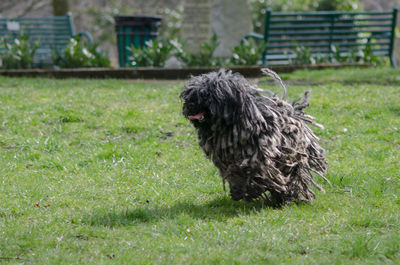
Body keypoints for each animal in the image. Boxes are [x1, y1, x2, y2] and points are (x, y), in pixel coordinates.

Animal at [181, 68, 328, 204]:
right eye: (191, 94)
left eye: (206, 95)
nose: (190, 103)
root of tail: (291, 109)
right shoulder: (225, 159)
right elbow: (235, 173)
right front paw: (239, 190)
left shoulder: (259, 155)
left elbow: (255, 171)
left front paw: (253, 189)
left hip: (292, 155)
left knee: (292, 175)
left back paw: (287, 194)